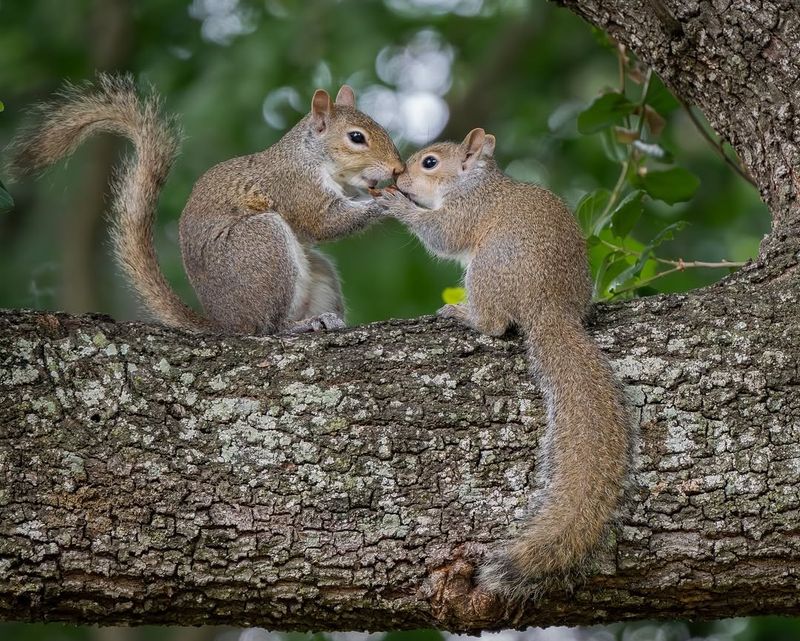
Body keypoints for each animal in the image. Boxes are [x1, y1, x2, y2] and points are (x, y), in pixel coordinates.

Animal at [8, 74, 404, 334]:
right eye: (356, 138)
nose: (397, 169)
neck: (312, 156)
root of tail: (224, 322)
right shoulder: (294, 185)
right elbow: (323, 221)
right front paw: (389, 202)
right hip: (262, 245)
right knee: (266, 328)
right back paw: (298, 325)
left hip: (317, 272)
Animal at [377, 128, 630, 599]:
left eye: (430, 163)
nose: (399, 177)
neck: (474, 182)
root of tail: (550, 309)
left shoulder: (467, 210)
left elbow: (442, 233)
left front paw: (396, 203)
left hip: (487, 268)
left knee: (495, 325)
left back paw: (465, 316)